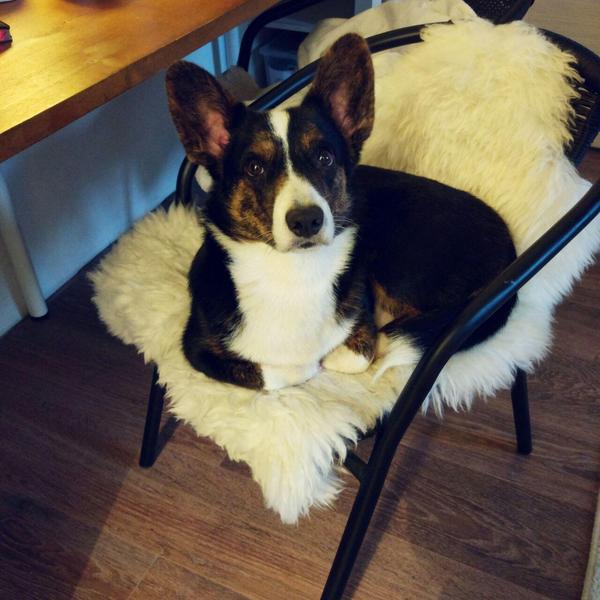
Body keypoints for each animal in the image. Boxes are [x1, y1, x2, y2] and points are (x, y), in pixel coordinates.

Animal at [165, 33, 516, 391]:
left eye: (324, 157)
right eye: (254, 167)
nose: (307, 220)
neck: (293, 272)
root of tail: (509, 246)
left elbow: (356, 351)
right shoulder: (198, 349)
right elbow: (278, 371)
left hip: (399, 264)